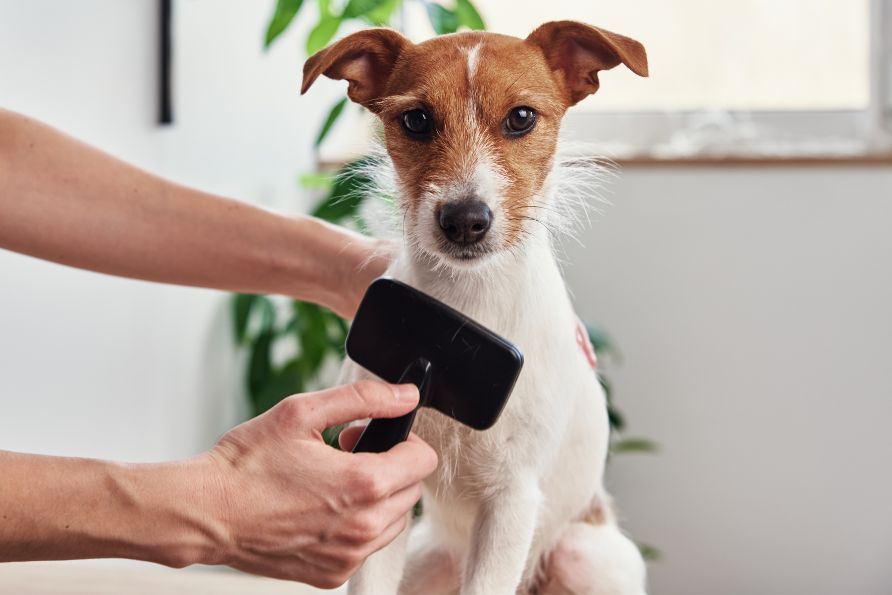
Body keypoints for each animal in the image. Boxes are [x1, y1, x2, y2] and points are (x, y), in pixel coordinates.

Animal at [302, 21, 648, 592]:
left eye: (522, 117)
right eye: (417, 120)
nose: (465, 220)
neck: (466, 307)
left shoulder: (511, 498)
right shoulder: (387, 479)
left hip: (585, 556)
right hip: (427, 560)